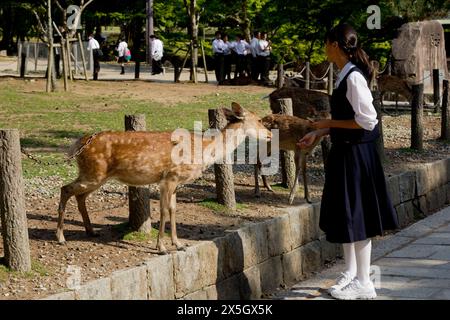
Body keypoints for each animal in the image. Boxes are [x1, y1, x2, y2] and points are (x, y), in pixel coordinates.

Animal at [56, 104, 270, 254]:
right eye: (259, 119)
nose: (269, 134)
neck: (202, 150)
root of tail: (79, 143)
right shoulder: (169, 178)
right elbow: (164, 211)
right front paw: (162, 247)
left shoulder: (176, 182)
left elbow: (174, 210)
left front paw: (179, 244)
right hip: (94, 173)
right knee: (65, 188)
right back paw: (60, 237)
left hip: (96, 176)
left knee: (79, 196)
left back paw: (91, 231)